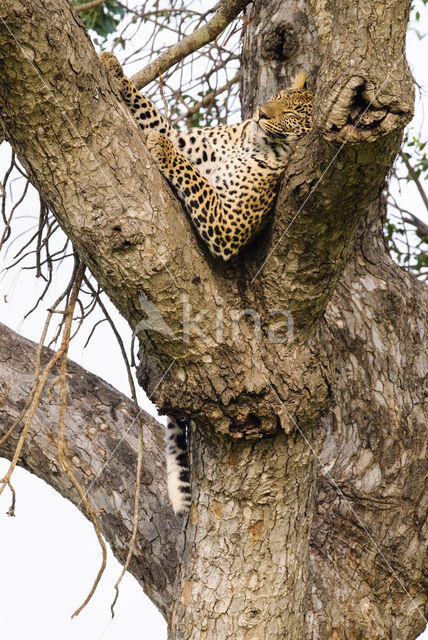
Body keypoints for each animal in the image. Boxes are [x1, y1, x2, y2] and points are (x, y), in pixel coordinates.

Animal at [100, 53, 314, 516]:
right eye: (277, 97)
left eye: (293, 115)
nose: (261, 113)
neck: (255, 143)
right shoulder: (191, 142)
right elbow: (153, 117)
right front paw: (114, 70)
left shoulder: (227, 224)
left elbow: (191, 175)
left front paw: (160, 151)